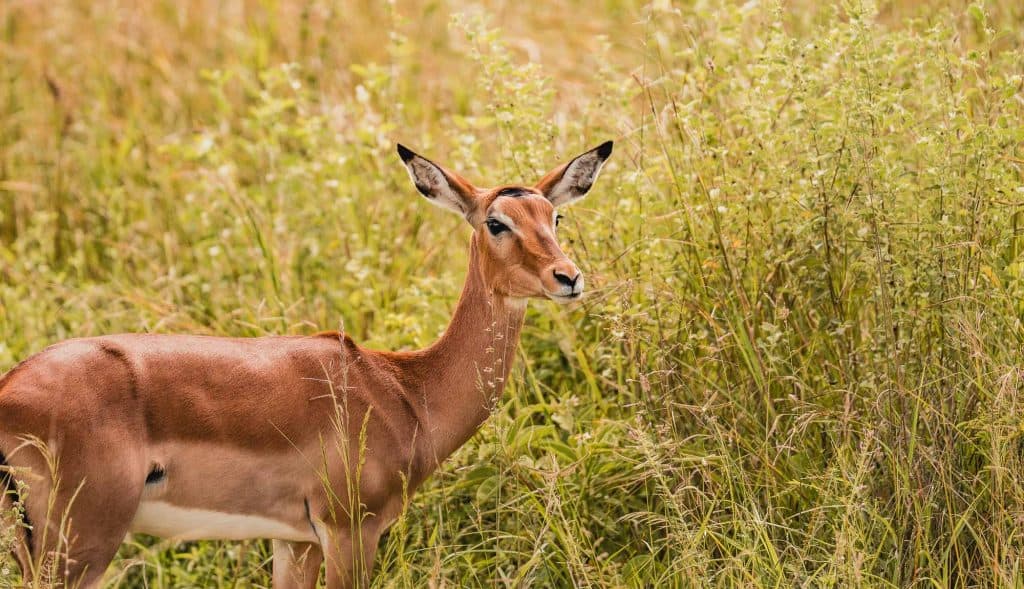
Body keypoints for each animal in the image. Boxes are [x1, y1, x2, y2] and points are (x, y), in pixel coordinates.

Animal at [0, 140, 613, 588]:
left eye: (554, 215)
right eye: (496, 222)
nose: (568, 277)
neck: (406, 391)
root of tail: (11, 389)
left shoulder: (294, 541)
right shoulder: (350, 530)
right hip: (80, 543)